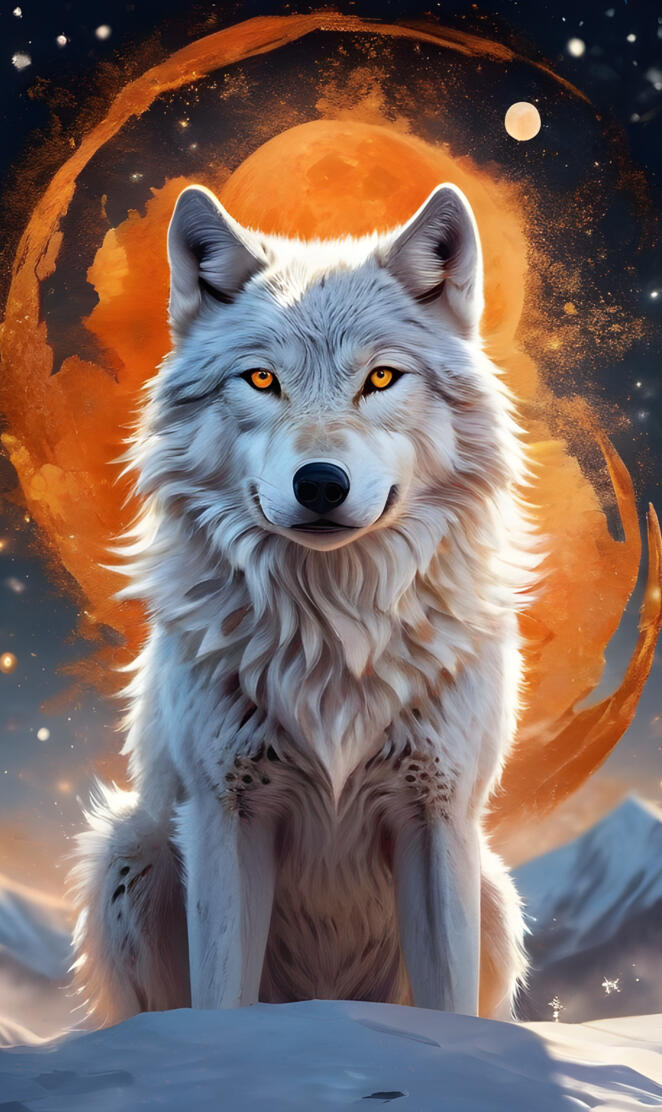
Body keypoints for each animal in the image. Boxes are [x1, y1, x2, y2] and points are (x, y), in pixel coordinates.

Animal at [70, 181, 533, 1026]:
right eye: (261, 380)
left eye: (380, 379)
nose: (320, 483)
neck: (334, 631)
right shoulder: (226, 815)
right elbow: (221, 998)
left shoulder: (439, 816)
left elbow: (449, 1006)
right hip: (128, 850)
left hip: (491, 889)